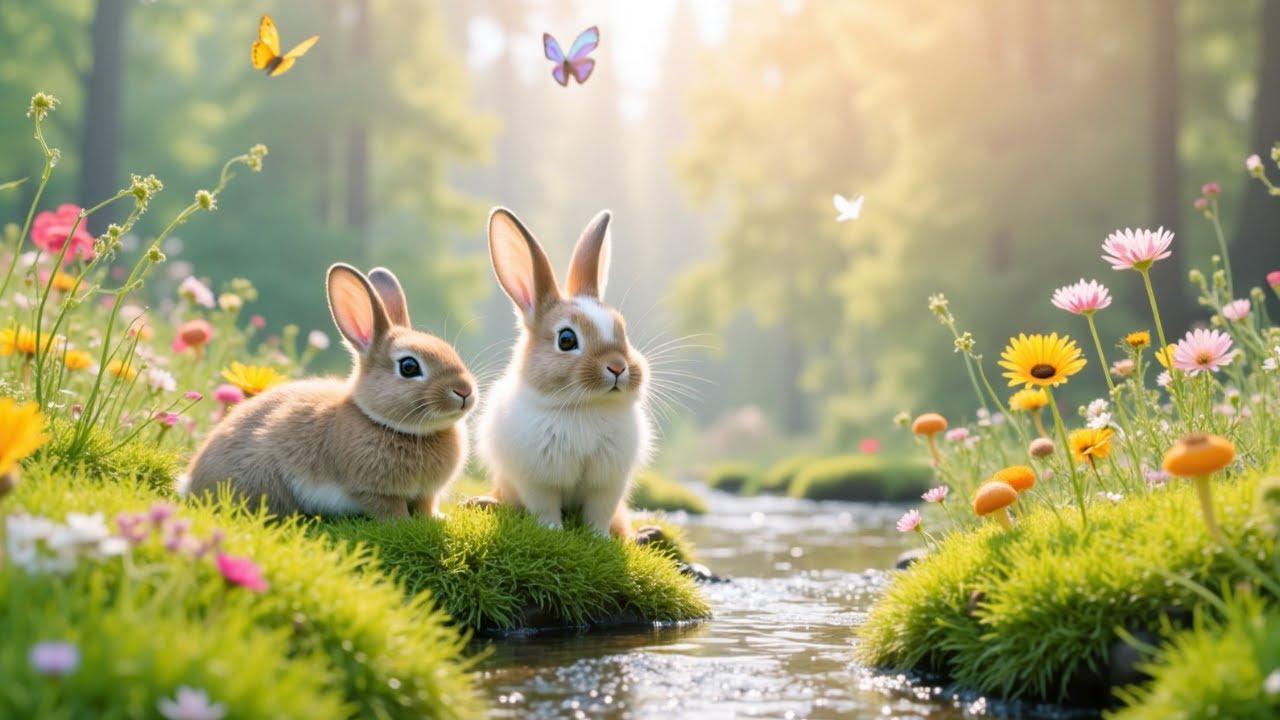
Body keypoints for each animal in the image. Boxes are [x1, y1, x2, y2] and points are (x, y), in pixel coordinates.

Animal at [179, 263, 476, 521]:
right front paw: (405, 524)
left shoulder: (426, 494)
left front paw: (438, 518)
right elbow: (390, 510)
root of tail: (190, 482)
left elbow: (426, 506)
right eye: (409, 366)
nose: (464, 392)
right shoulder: (372, 492)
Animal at [475, 207, 652, 538]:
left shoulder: (607, 485)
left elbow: (599, 513)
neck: (584, 407)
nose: (618, 367)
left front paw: (600, 538)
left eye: (622, 330)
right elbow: (545, 507)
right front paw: (553, 531)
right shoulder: (537, 481)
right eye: (566, 339)